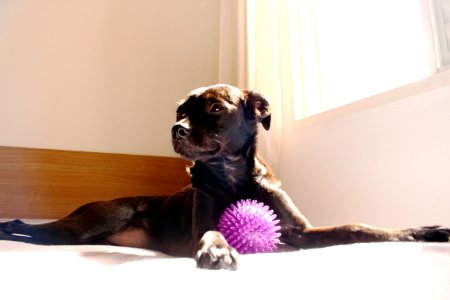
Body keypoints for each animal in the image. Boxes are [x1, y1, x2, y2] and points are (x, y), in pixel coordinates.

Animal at [0, 84, 450, 270]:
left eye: (215, 108)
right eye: (180, 110)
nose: (175, 129)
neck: (232, 176)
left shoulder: (302, 233)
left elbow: (359, 227)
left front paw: (423, 231)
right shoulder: (205, 221)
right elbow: (214, 231)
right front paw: (217, 251)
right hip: (82, 227)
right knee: (34, 230)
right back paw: (8, 227)